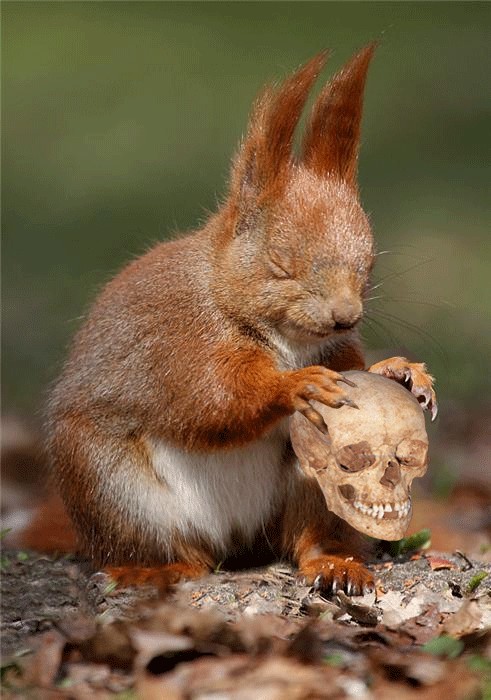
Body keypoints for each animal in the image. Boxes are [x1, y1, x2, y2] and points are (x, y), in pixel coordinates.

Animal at [29, 44, 436, 596]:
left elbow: (358, 368)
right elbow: (213, 400)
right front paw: (295, 386)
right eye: (280, 263)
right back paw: (153, 568)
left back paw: (334, 563)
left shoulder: (337, 350)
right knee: (176, 552)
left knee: (308, 538)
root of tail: (237, 540)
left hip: (310, 484)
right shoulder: (181, 340)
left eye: (369, 264)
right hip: (111, 487)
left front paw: (401, 371)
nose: (345, 317)